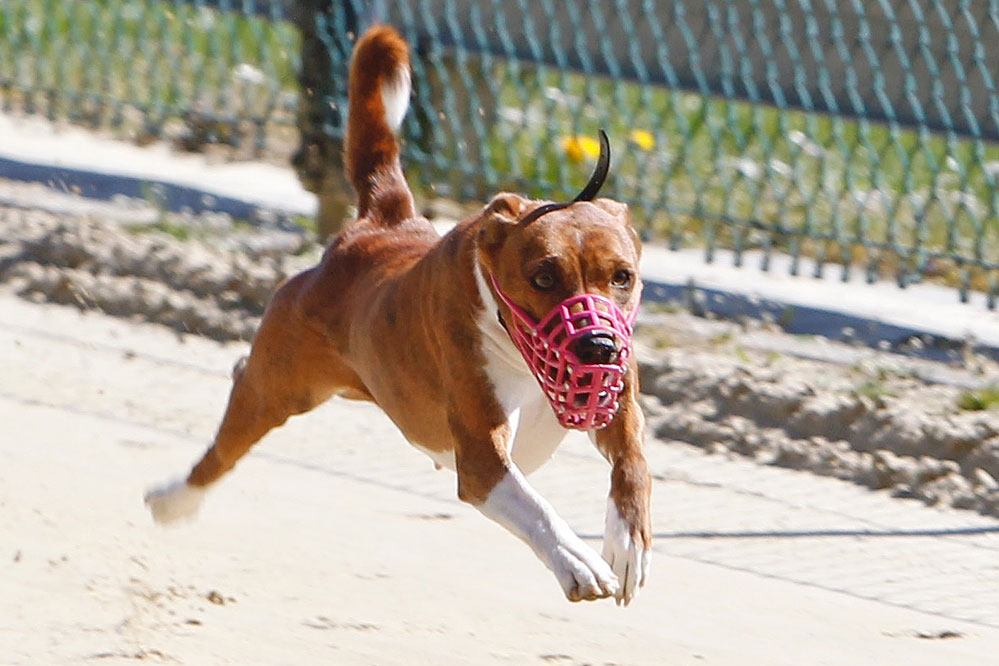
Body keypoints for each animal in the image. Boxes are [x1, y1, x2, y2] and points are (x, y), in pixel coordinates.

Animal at [146, 25, 651, 605]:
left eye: (622, 277)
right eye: (543, 277)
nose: (598, 346)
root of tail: (379, 225)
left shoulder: (617, 402)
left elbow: (633, 461)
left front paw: (627, 544)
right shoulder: (481, 461)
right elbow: (536, 507)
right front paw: (578, 561)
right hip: (280, 386)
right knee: (227, 440)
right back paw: (173, 498)